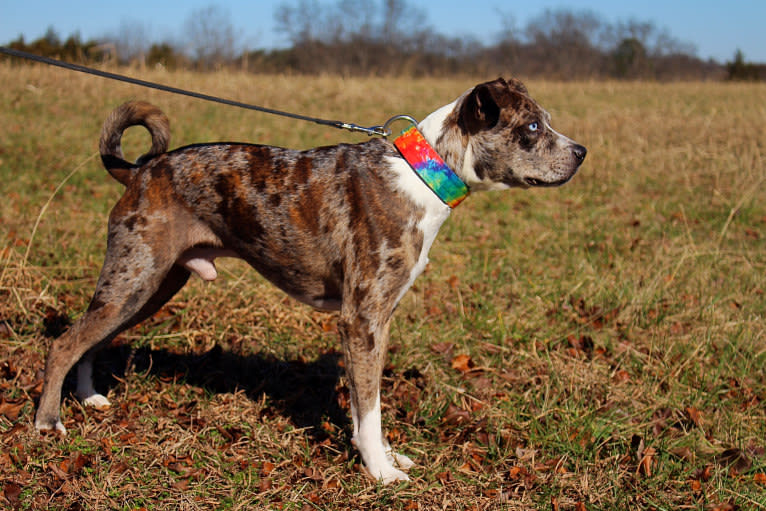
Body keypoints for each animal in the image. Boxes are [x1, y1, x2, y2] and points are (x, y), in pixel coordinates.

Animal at [34, 77, 588, 484]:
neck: (422, 174)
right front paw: (381, 473)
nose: (581, 151)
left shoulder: (378, 321)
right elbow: (369, 408)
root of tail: (139, 171)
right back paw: (48, 421)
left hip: (150, 286)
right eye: (532, 126)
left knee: (91, 340)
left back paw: (88, 398)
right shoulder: (361, 319)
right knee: (63, 343)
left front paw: (384, 456)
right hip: (136, 279)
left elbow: (369, 404)